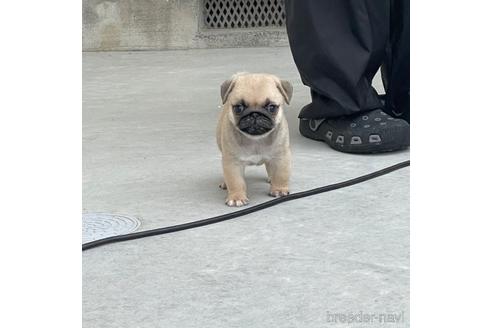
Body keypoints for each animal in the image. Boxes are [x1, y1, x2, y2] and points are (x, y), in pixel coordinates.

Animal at [216, 72, 292, 206]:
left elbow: (280, 174)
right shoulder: (232, 163)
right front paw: (236, 197)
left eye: (272, 107)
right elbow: (235, 181)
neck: (256, 139)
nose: (255, 114)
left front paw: (279, 189)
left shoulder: (281, 157)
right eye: (238, 108)